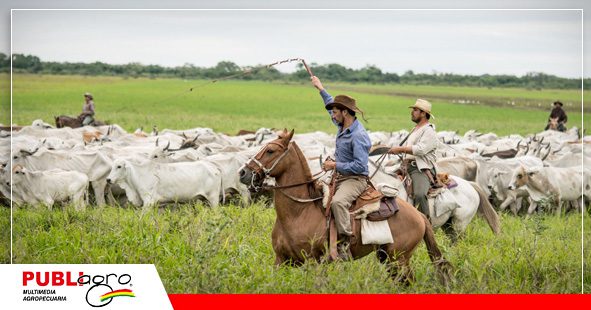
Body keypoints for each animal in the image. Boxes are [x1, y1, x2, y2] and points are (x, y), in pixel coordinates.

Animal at [238, 128, 450, 284]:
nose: (243, 173)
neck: (298, 213)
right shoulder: (280, 260)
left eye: (270, 151)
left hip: (399, 260)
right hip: (388, 258)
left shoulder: (314, 262)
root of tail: (419, 215)